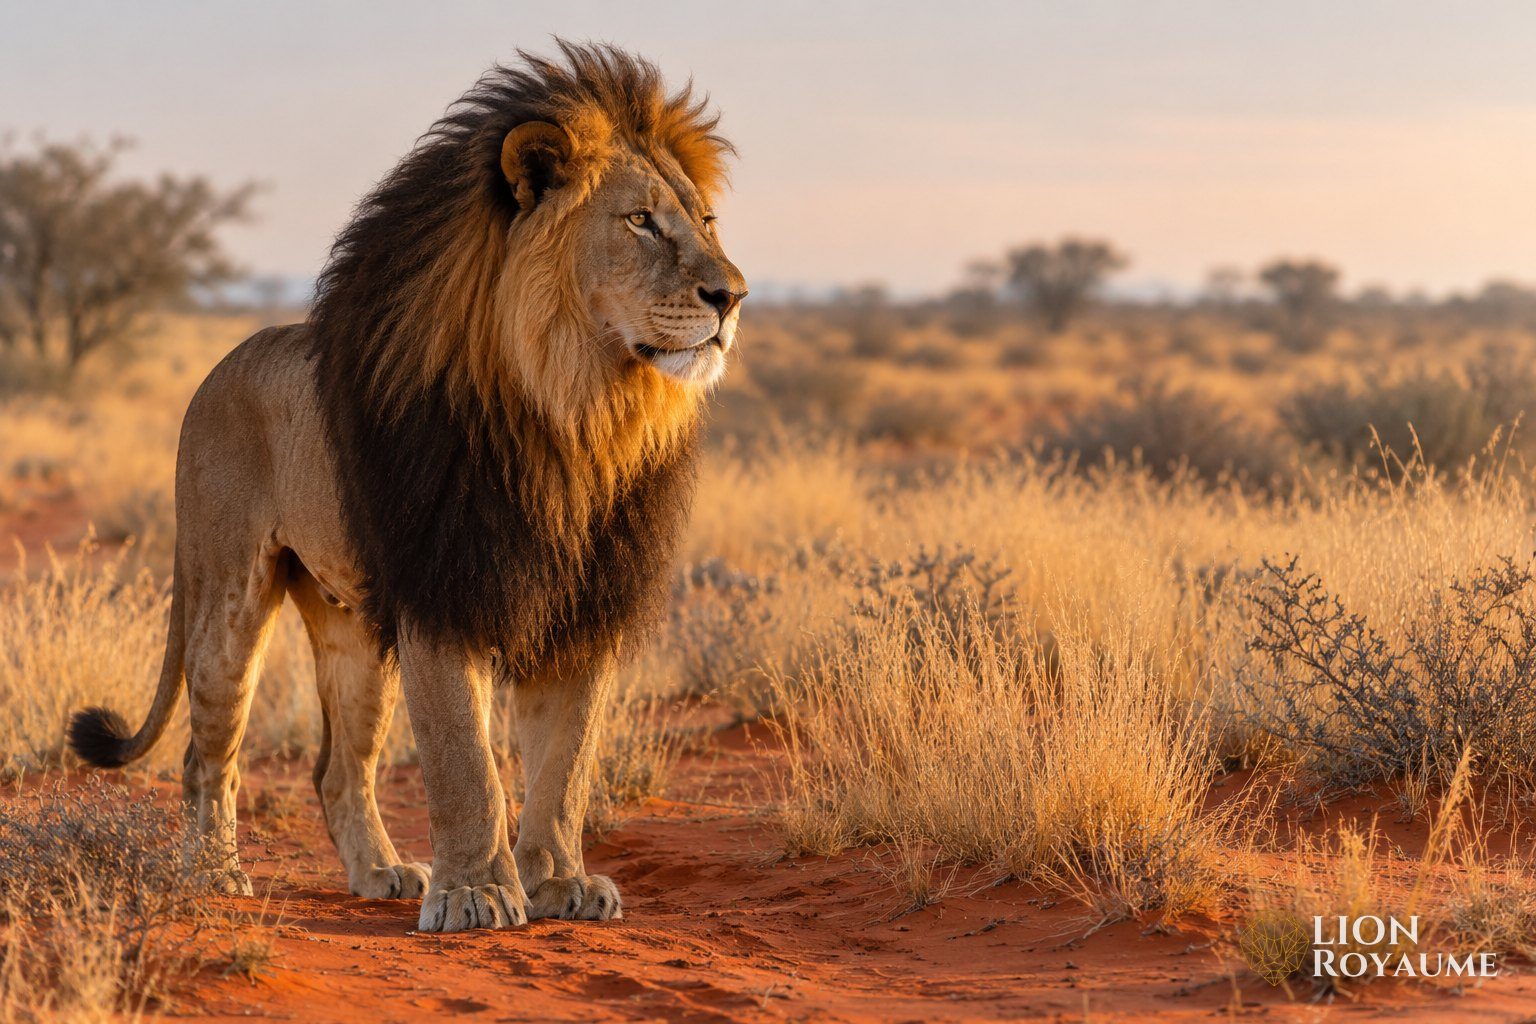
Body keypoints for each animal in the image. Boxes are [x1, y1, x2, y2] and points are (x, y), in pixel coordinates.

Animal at [65, 42, 746, 933]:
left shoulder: (585, 602)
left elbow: (565, 764)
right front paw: (477, 892)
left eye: (706, 223)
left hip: (353, 630)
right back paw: (213, 873)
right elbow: (466, 763)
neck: (576, 413)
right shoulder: (441, 584)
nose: (732, 296)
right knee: (205, 751)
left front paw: (559, 880)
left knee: (335, 768)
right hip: (226, 597)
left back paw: (380, 871)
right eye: (640, 221)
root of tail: (218, 367)